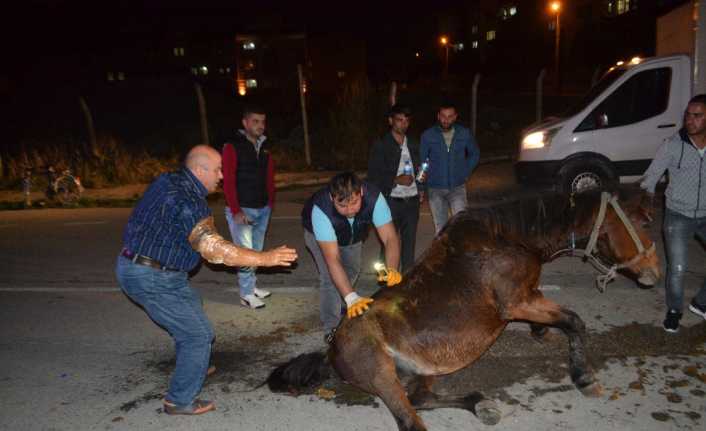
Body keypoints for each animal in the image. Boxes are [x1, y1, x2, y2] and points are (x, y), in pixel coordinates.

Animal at [266, 191, 656, 430]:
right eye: (642, 221)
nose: (654, 270)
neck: (509, 237)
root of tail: (330, 350)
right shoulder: (516, 302)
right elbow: (574, 321)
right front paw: (583, 376)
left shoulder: (526, 297)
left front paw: (541, 332)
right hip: (381, 374)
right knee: (411, 419)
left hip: (420, 368)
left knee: (421, 399)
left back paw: (480, 403)